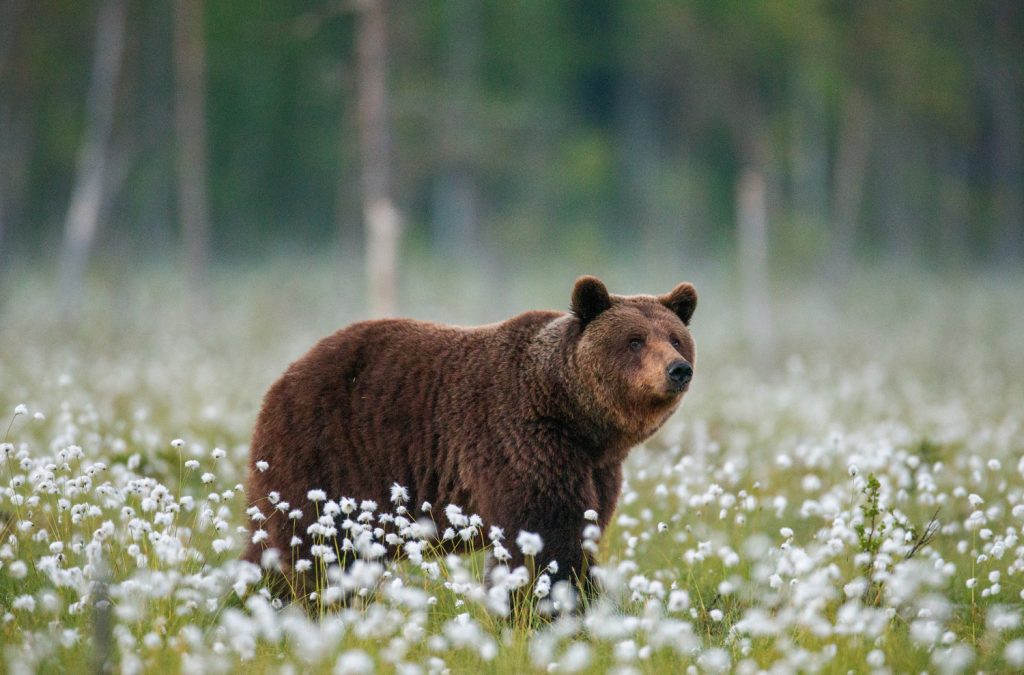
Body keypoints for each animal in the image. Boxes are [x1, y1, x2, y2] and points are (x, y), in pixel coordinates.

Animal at [244, 275, 697, 597]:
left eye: (676, 338)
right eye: (635, 340)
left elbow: (585, 526)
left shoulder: (595, 466)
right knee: (308, 541)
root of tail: (286, 375)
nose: (678, 369)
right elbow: (544, 533)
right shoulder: (520, 439)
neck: (573, 416)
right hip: (328, 451)